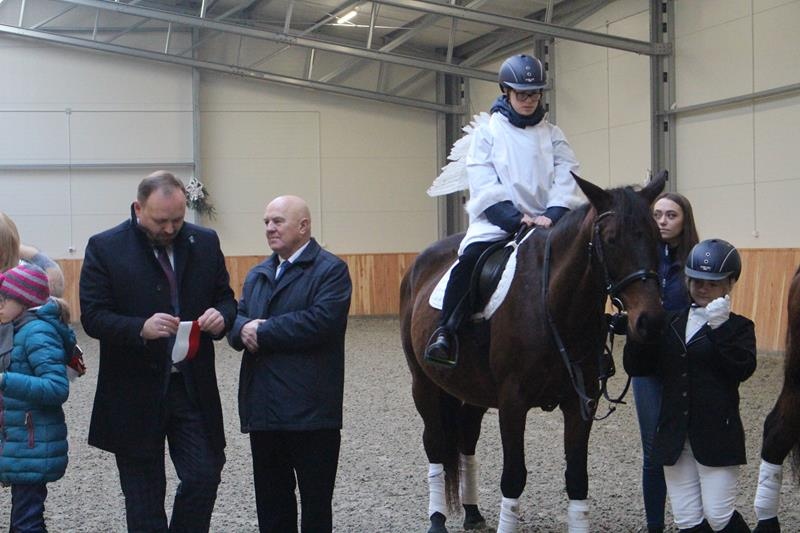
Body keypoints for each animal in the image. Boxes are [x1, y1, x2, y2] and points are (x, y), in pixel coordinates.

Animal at [399, 172, 667, 533]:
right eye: (611, 240)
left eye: (657, 236)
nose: (650, 321)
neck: (553, 305)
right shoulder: (513, 401)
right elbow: (514, 476)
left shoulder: (581, 402)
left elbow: (577, 478)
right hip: (424, 384)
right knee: (436, 445)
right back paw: (437, 520)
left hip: (473, 390)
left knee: (467, 439)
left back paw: (472, 512)